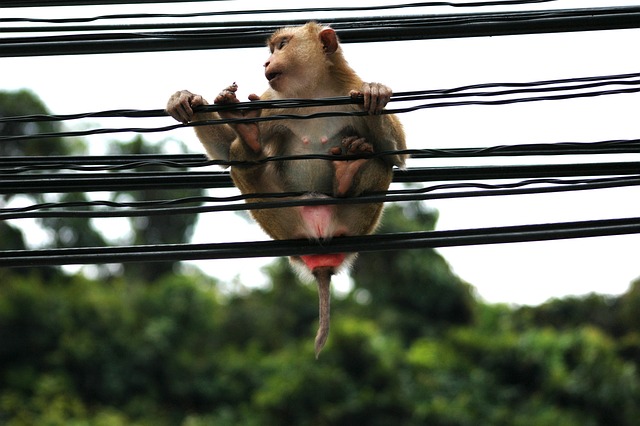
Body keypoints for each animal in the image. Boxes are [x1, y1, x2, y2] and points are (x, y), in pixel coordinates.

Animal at [165, 22, 404, 356]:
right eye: (273, 48)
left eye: (282, 45)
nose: (265, 62)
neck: (312, 93)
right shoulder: (270, 102)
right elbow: (226, 153)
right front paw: (185, 99)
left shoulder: (349, 89)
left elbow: (398, 156)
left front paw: (375, 92)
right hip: (286, 223)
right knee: (241, 160)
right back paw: (249, 138)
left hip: (354, 224)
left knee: (382, 162)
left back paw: (346, 175)